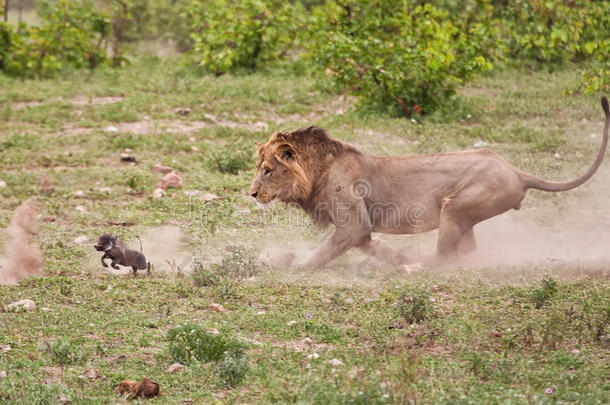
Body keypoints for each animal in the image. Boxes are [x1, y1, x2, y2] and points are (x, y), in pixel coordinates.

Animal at [248, 96, 608, 270]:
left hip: (455, 207)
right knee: (467, 249)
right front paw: (396, 258)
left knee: (445, 257)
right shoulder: (359, 231)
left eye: (267, 170)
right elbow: (375, 247)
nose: (251, 193)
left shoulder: (352, 223)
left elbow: (324, 252)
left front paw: (298, 266)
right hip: (464, 214)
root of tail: (516, 171)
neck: (317, 171)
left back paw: (416, 267)